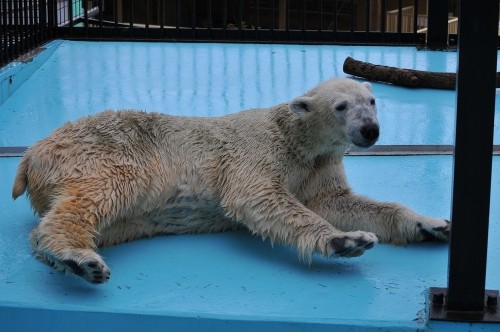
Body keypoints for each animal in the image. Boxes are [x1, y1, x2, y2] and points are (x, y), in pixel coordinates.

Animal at [11, 78, 452, 282]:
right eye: (342, 106)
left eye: (372, 101)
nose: (370, 130)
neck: (293, 134)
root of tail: (31, 153)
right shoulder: (258, 149)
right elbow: (258, 195)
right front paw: (347, 240)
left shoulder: (319, 164)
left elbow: (339, 201)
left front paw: (433, 224)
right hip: (103, 152)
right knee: (106, 191)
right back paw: (81, 259)